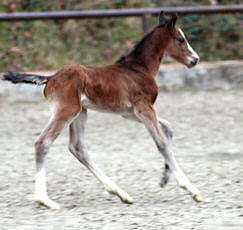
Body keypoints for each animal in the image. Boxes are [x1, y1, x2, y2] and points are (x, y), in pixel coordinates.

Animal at [3, 11, 201, 209]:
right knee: (43, 143)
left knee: (77, 147)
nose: (195, 59)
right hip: (67, 111)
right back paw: (44, 200)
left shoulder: (130, 113)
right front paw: (191, 190)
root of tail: (50, 78)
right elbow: (162, 143)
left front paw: (164, 179)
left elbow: (168, 128)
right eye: (181, 39)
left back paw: (120, 193)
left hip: (80, 112)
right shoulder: (144, 108)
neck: (139, 69)